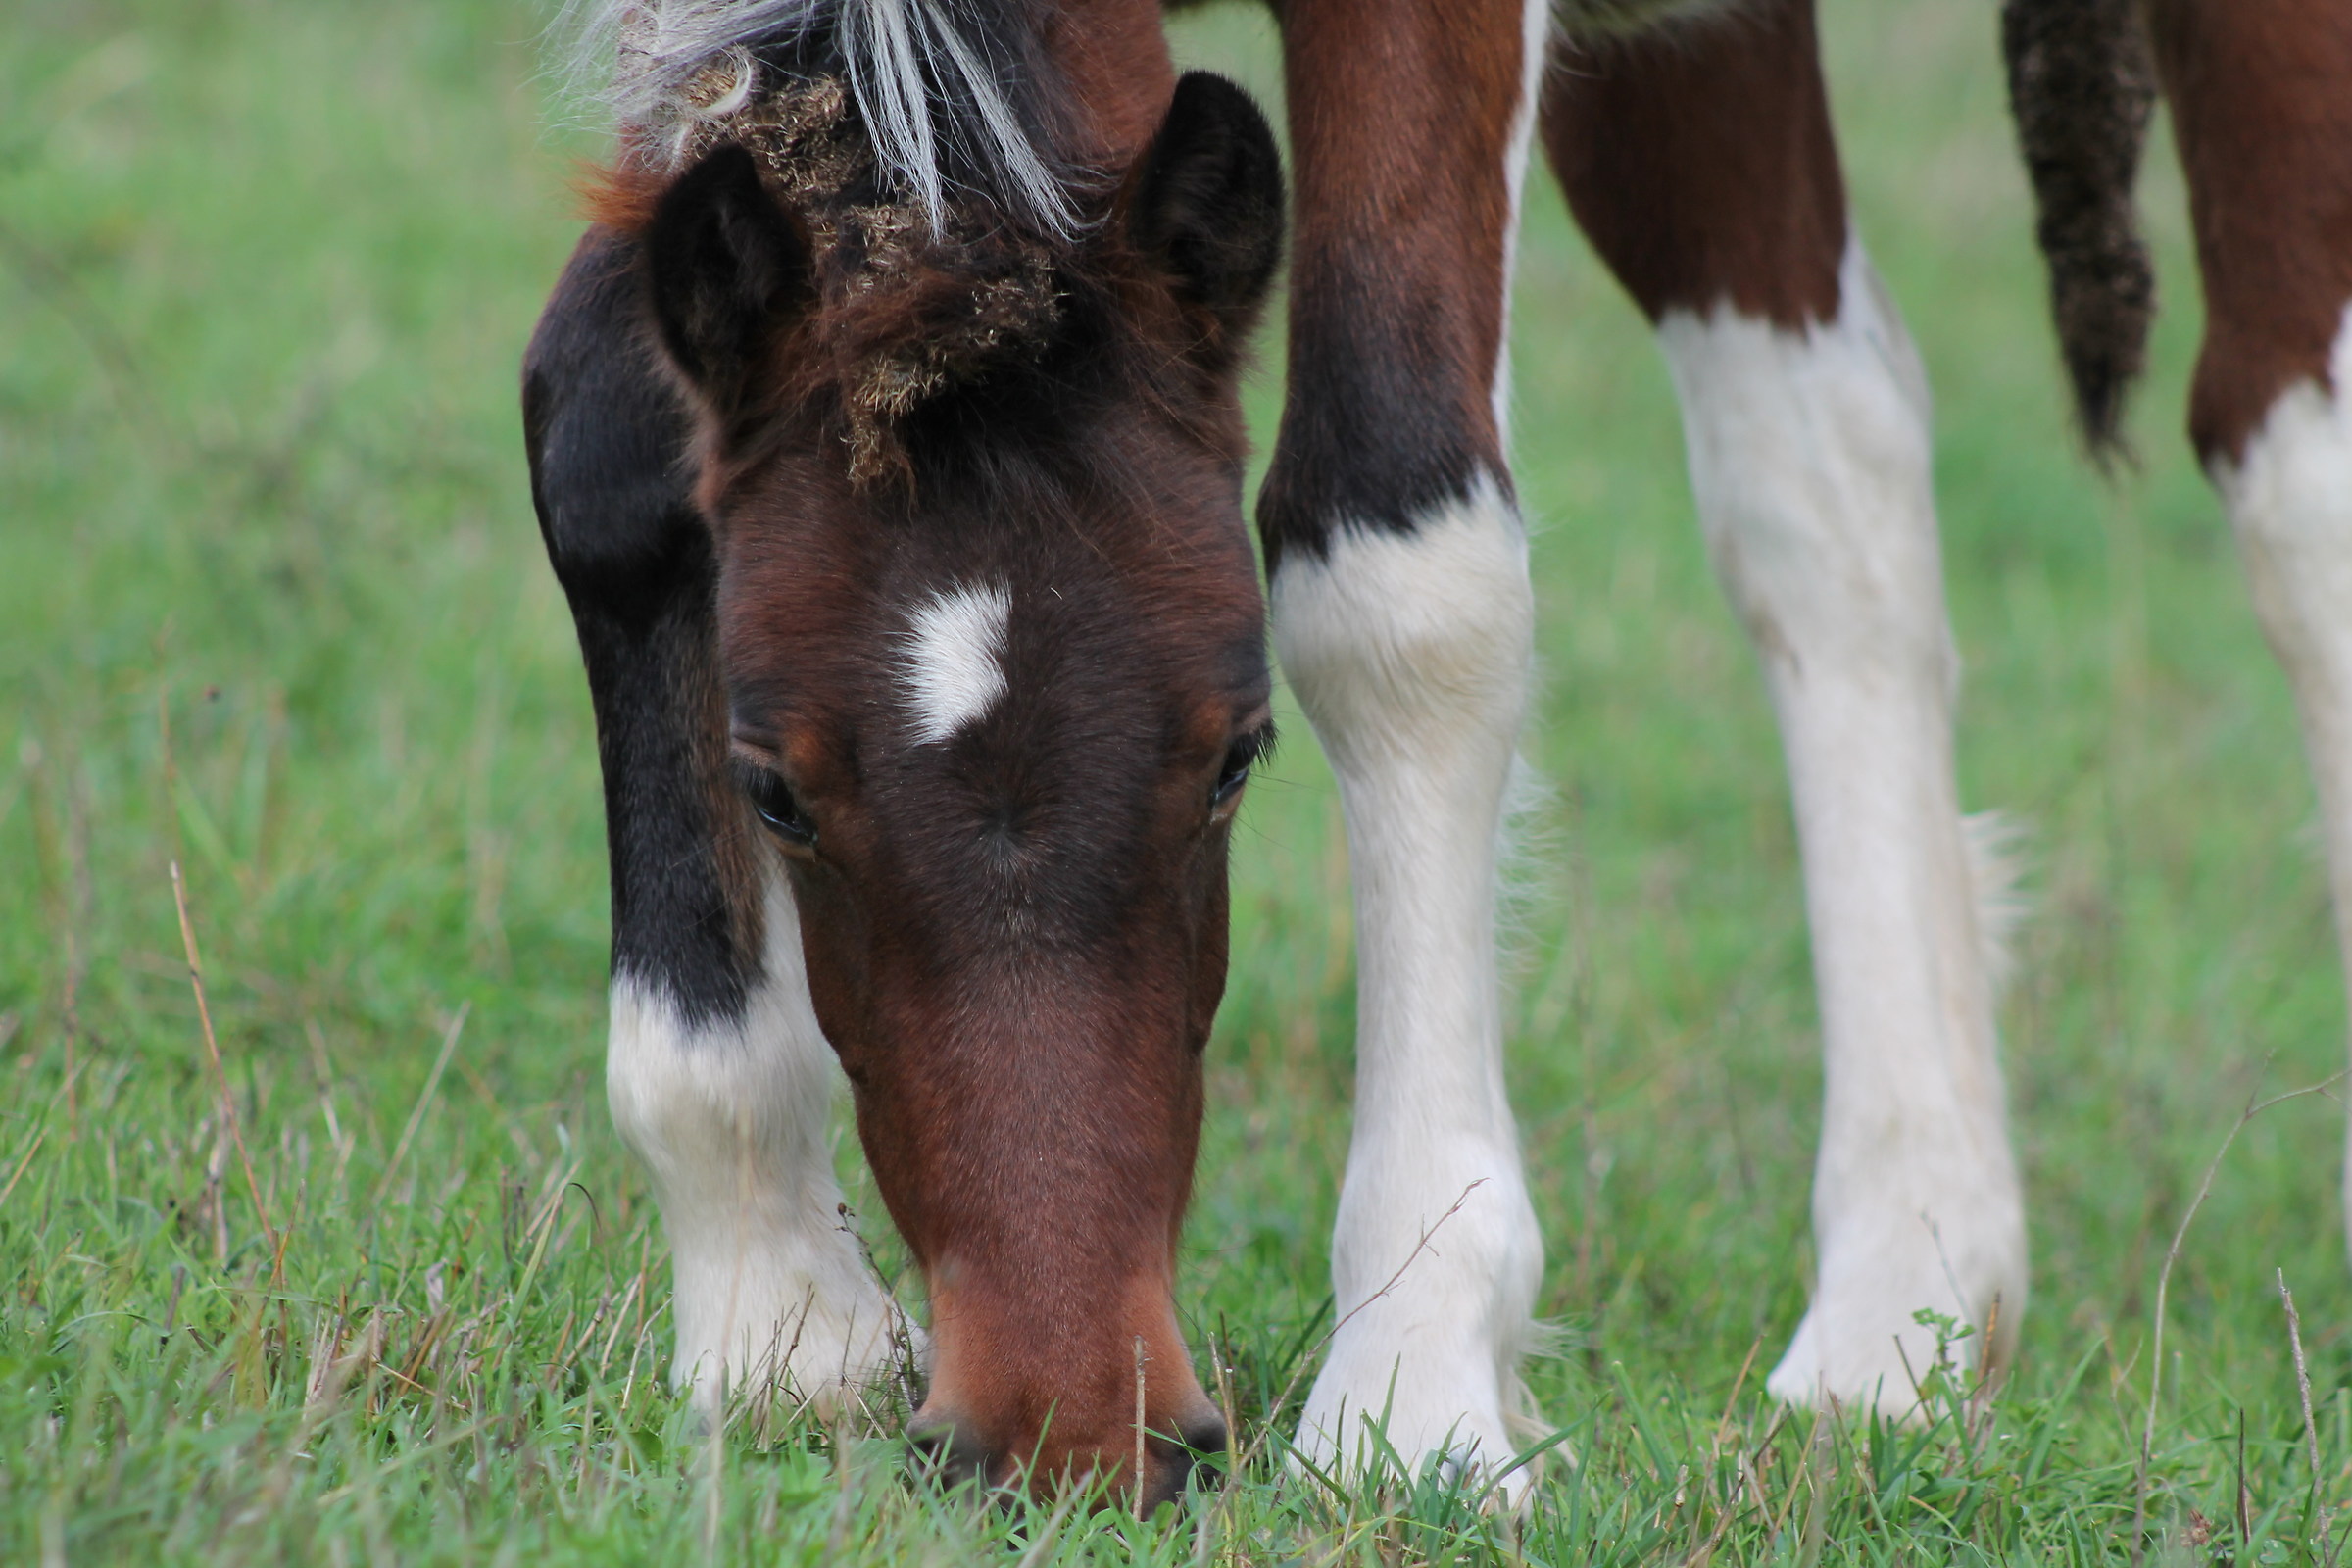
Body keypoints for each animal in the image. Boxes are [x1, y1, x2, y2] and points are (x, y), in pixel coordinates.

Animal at [522, 0, 2352, 1511]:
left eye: (1237, 758)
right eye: (771, 791)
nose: (1067, 1436)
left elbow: (1395, 556)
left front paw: (1415, 1385)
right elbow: (600, 434)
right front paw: (773, 1311)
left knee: (2293, 465)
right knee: (1830, 470)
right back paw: (1902, 1307)